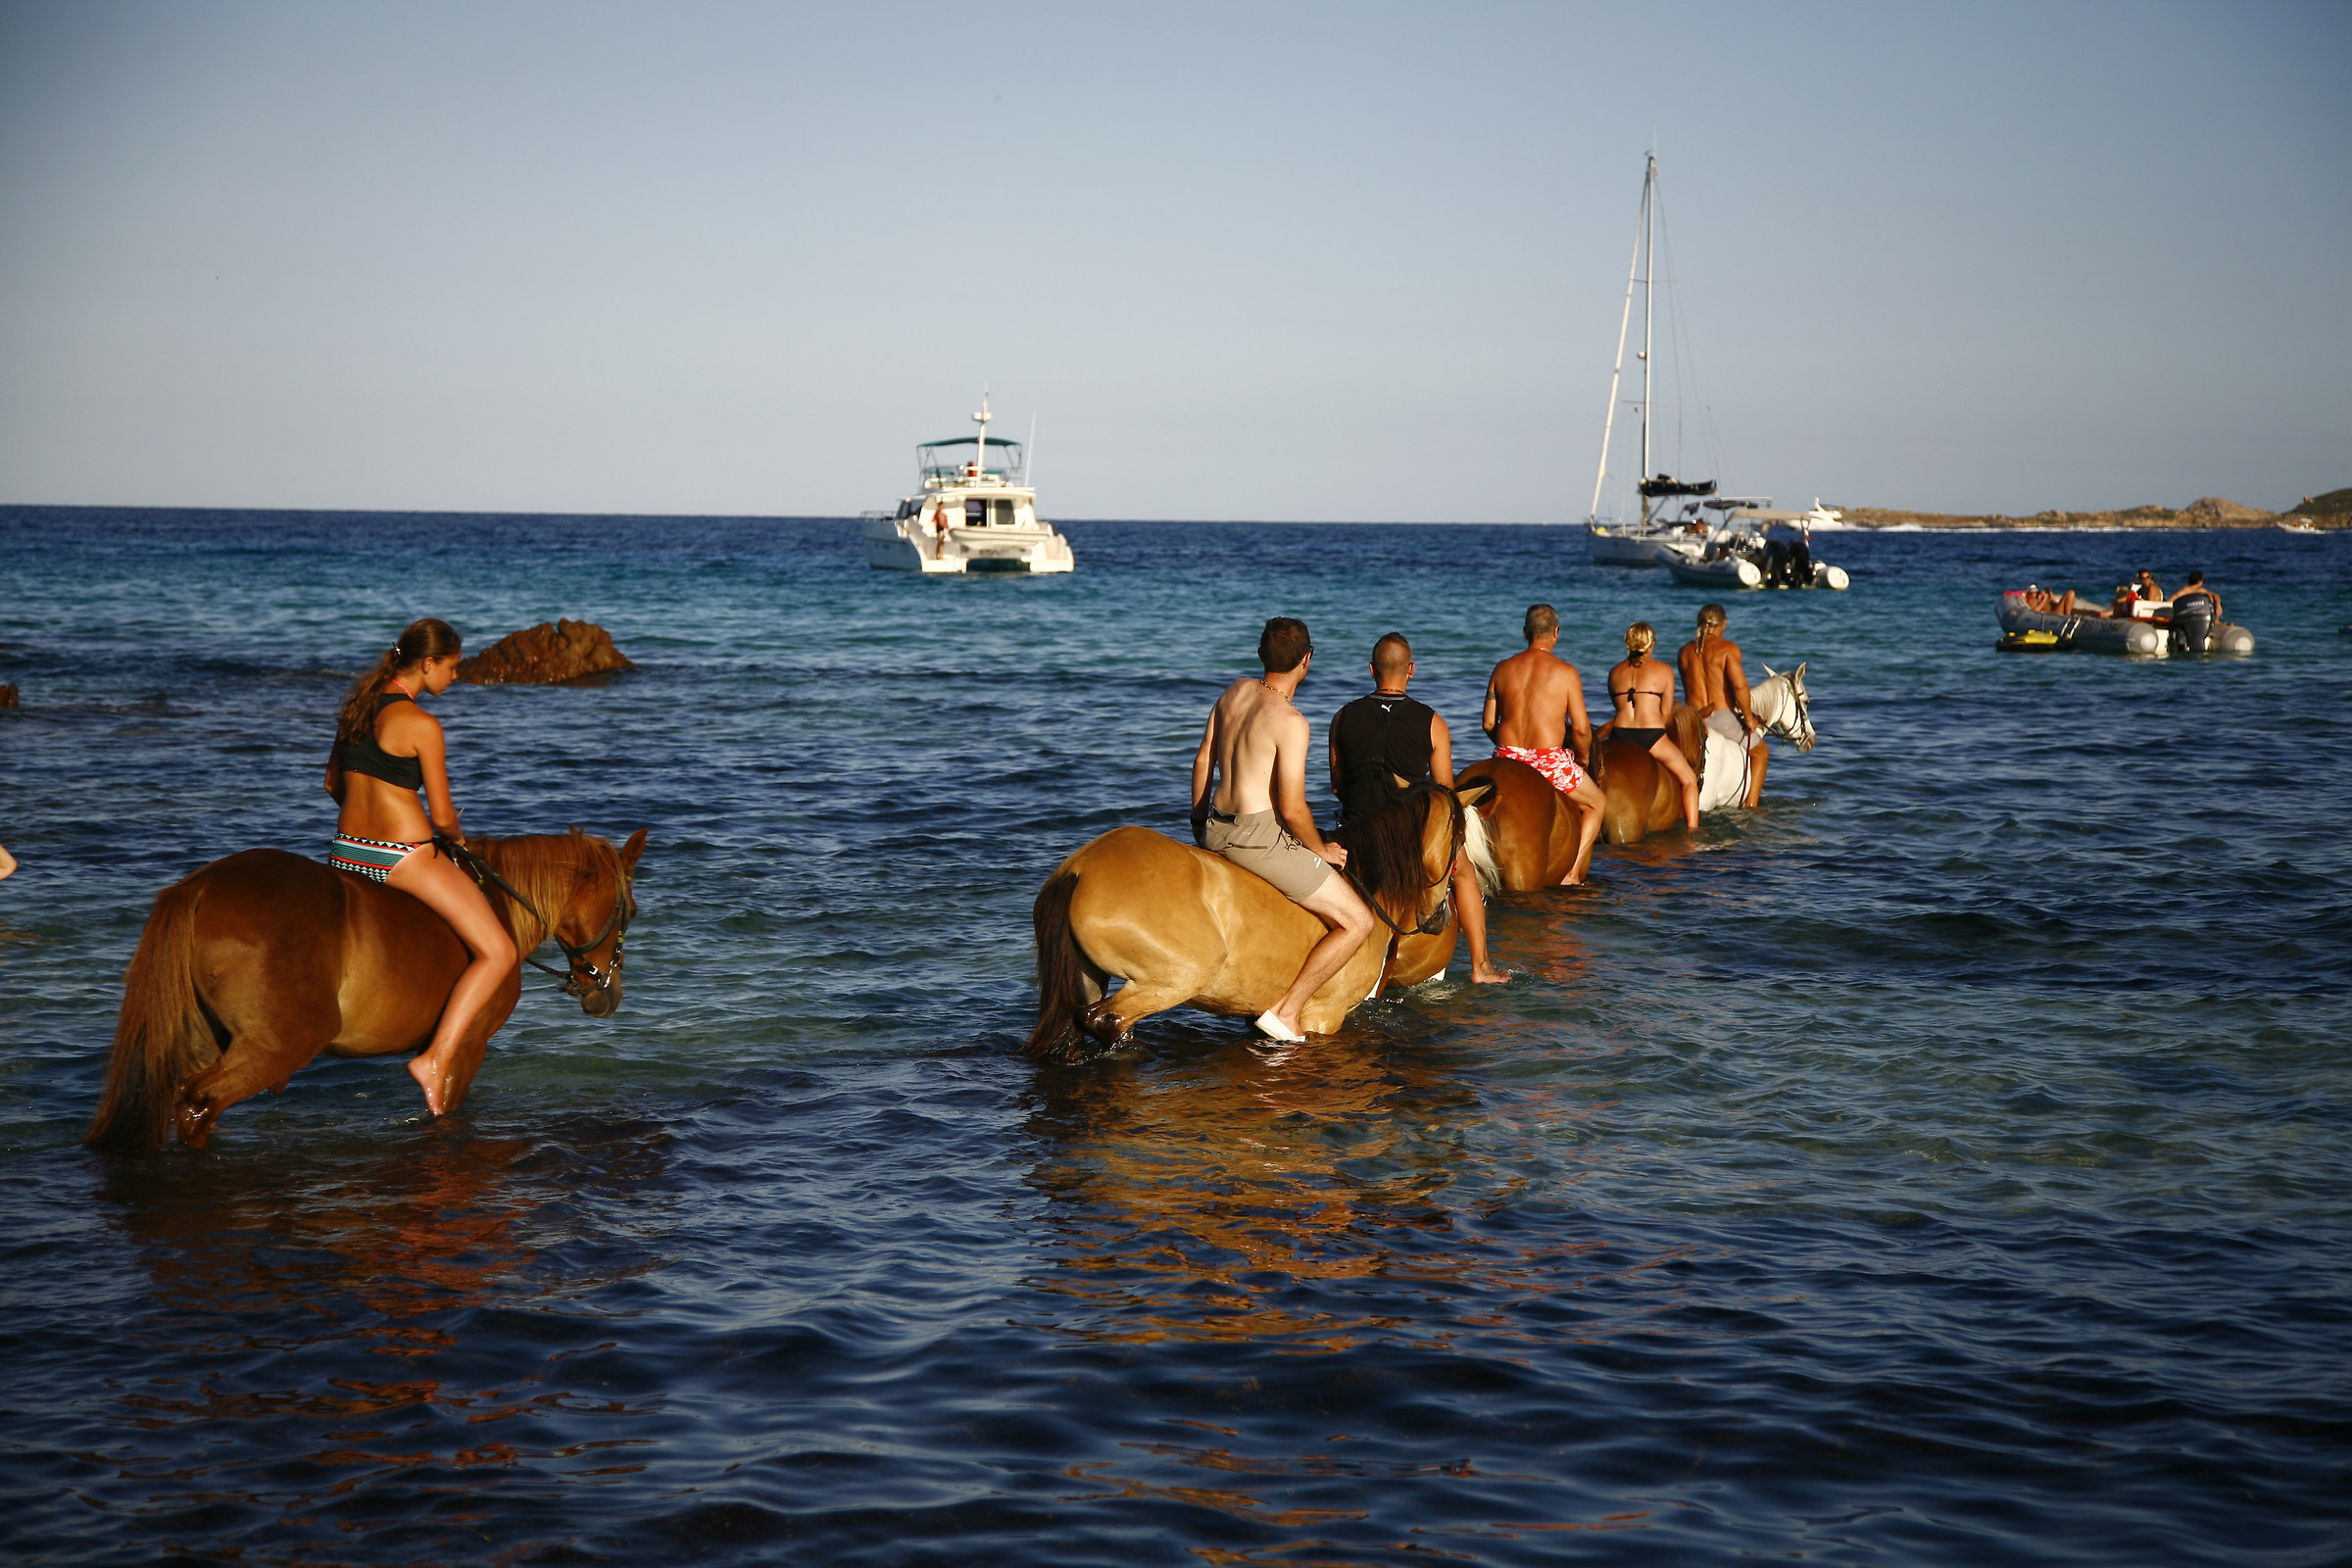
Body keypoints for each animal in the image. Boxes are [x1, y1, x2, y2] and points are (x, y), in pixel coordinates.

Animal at [85, 828, 646, 1154]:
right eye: (632, 911)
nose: (608, 993)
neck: (500, 907)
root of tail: (200, 887)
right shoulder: (465, 1046)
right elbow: (445, 1104)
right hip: (278, 1044)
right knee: (198, 1102)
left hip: (208, 1039)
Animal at [1027, 782, 1490, 1054]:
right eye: (1460, 839)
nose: (1439, 918)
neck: (1364, 885)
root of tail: (1080, 868)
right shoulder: (1325, 1017)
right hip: (1172, 980)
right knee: (1105, 1022)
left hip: (1089, 978)